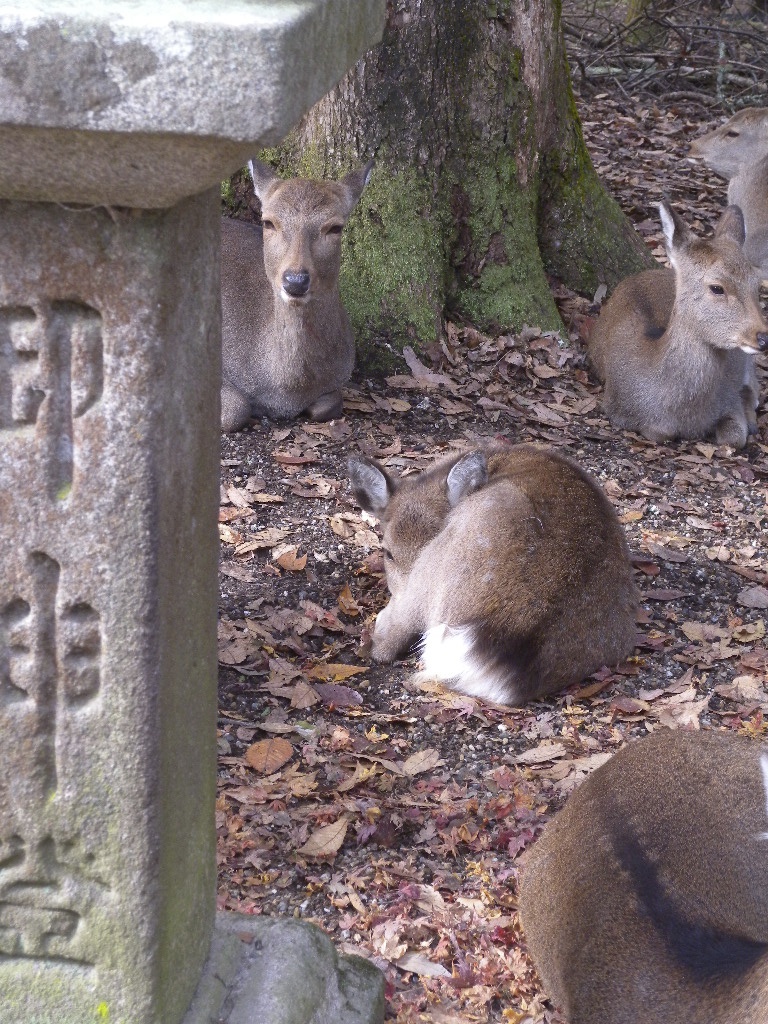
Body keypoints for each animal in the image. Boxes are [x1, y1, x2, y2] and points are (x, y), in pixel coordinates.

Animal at [593, 201, 765, 450]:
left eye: (756, 284)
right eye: (717, 287)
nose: (763, 337)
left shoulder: (729, 401)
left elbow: (735, 438)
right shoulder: (616, 407)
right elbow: (660, 432)